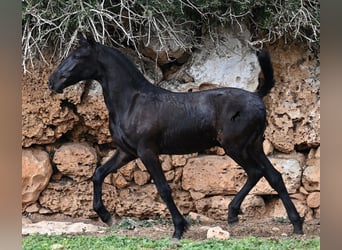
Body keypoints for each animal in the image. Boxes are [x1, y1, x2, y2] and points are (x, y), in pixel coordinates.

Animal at [48, 36, 302, 239]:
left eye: (77, 56)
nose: (52, 81)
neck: (132, 102)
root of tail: (257, 96)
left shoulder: (147, 152)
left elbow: (163, 189)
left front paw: (179, 229)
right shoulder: (126, 152)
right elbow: (98, 174)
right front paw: (105, 215)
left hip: (237, 147)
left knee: (258, 172)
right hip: (253, 146)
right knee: (272, 175)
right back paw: (292, 224)